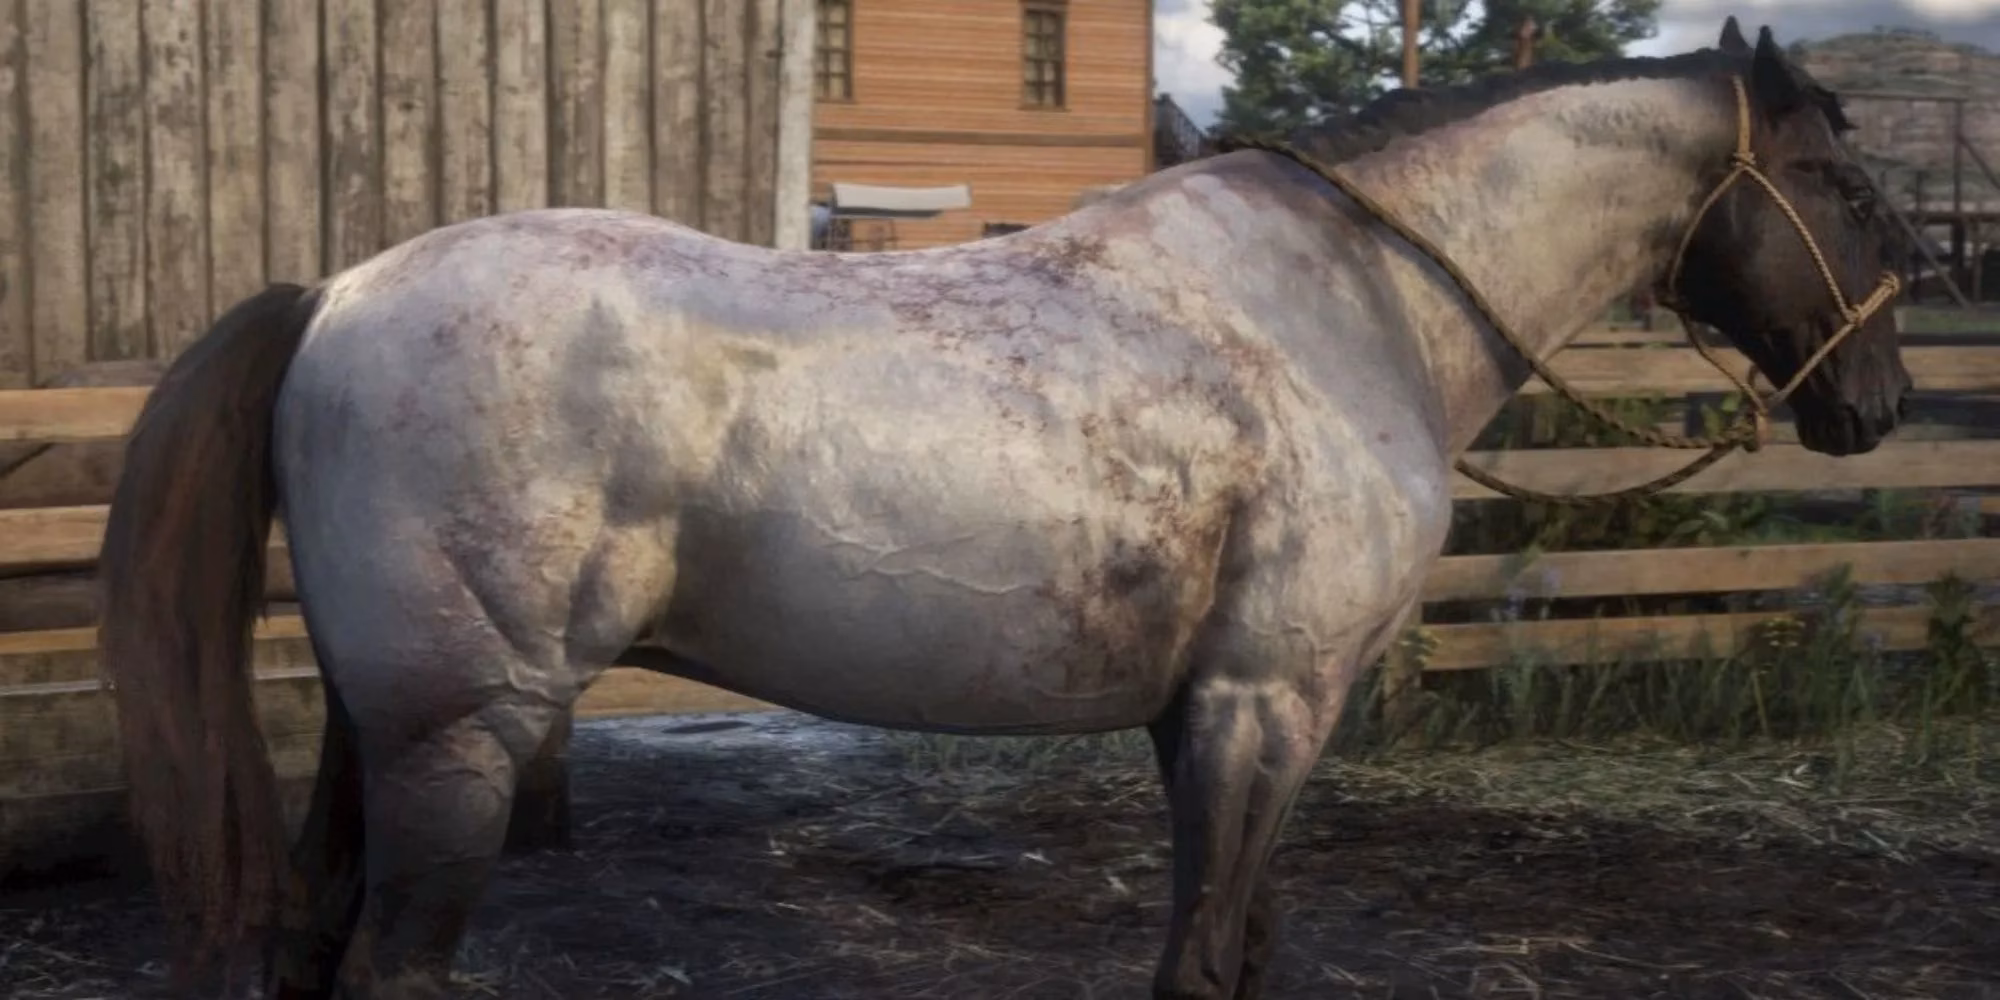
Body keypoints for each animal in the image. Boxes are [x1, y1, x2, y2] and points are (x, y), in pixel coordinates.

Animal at [98, 18, 1910, 1000]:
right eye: (1842, 185)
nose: (1875, 403)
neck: (1351, 306)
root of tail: (335, 295)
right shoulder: (1264, 705)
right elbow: (1202, 957)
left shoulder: (1225, 716)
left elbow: (1243, 943)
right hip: (463, 738)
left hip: (381, 732)